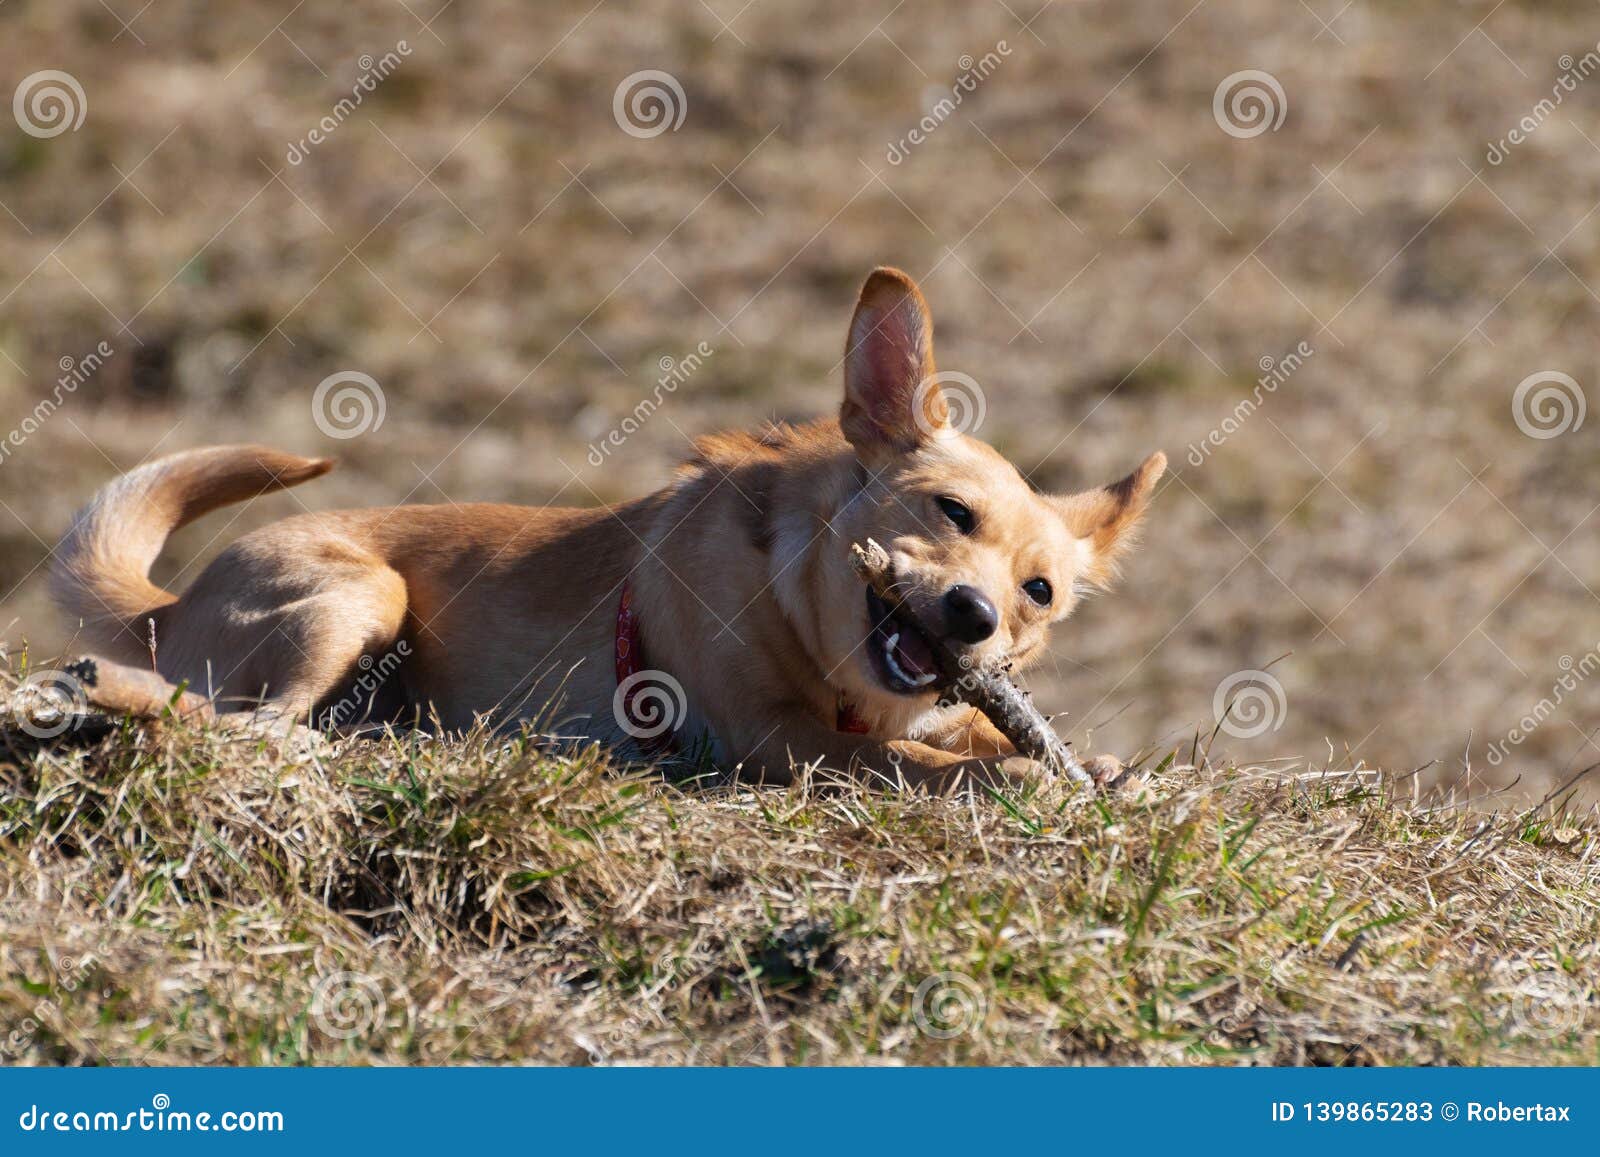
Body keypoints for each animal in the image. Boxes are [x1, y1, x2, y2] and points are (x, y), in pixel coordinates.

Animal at [53, 270, 1164, 790]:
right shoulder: (776, 737)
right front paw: (1010, 775)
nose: (975, 616)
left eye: (1039, 592)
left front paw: (1093, 763)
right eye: (950, 510)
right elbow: (915, 765)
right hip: (363, 593)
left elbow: (968, 731)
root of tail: (171, 601)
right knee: (236, 721)